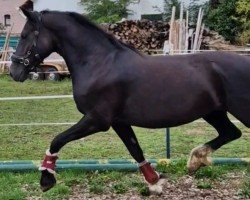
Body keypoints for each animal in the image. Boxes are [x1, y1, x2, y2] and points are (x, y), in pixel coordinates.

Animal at [9, 9, 250, 192]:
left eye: (24, 35)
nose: (14, 71)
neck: (99, 63)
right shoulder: (119, 122)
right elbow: (135, 149)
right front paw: (154, 182)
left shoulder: (97, 120)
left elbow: (57, 139)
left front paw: (46, 179)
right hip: (213, 112)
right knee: (231, 133)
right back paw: (196, 160)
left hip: (238, 110)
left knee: (233, 132)